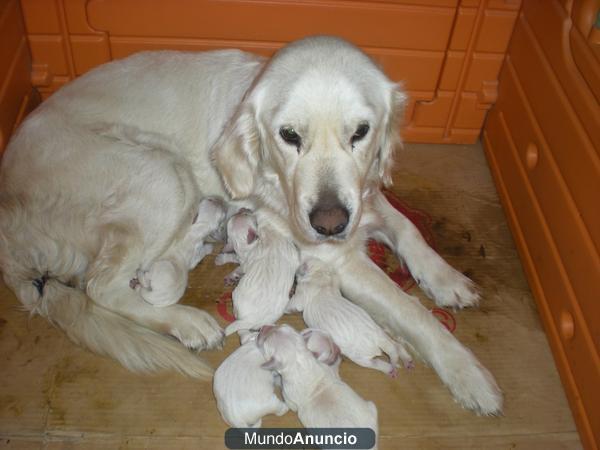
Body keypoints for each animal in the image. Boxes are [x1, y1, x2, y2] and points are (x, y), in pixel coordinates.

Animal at [0, 35, 502, 414]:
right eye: (289, 135)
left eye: (360, 132)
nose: (329, 223)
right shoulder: (336, 254)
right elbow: (411, 310)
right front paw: (470, 375)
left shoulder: (362, 199)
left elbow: (408, 232)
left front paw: (448, 280)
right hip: (161, 174)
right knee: (101, 287)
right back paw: (187, 321)